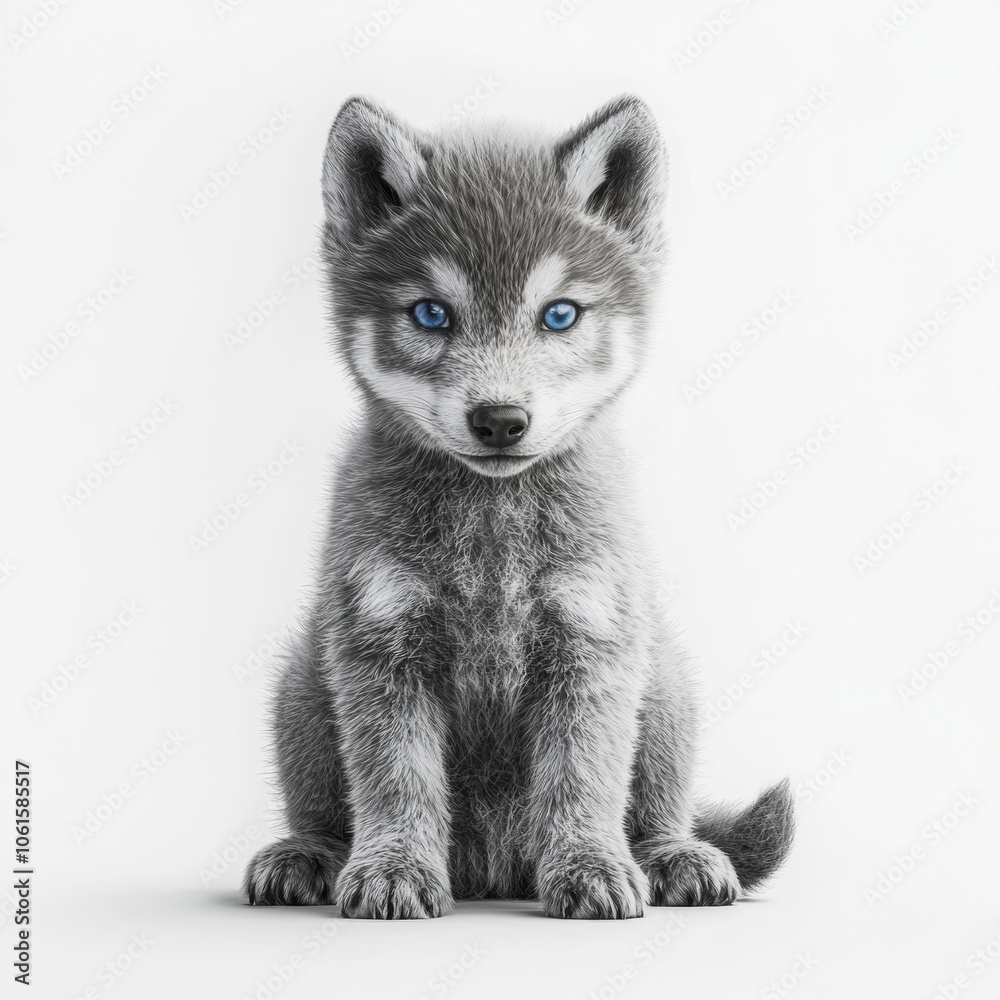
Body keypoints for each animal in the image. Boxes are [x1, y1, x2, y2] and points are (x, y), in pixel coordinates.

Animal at [243, 94, 794, 919]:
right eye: (431, 314)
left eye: (559, 315)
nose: (500, 419)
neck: (491, 534)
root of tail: (494, 868)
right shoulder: (379, 648)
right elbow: (396, 782)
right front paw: (394, 868)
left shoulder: (590, 645)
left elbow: (582, 781)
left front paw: (592, 867)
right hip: (304, 683)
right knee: (318, 808)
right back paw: (307, 854)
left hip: (663, 681)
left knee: (663, 805)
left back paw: (674, 856)